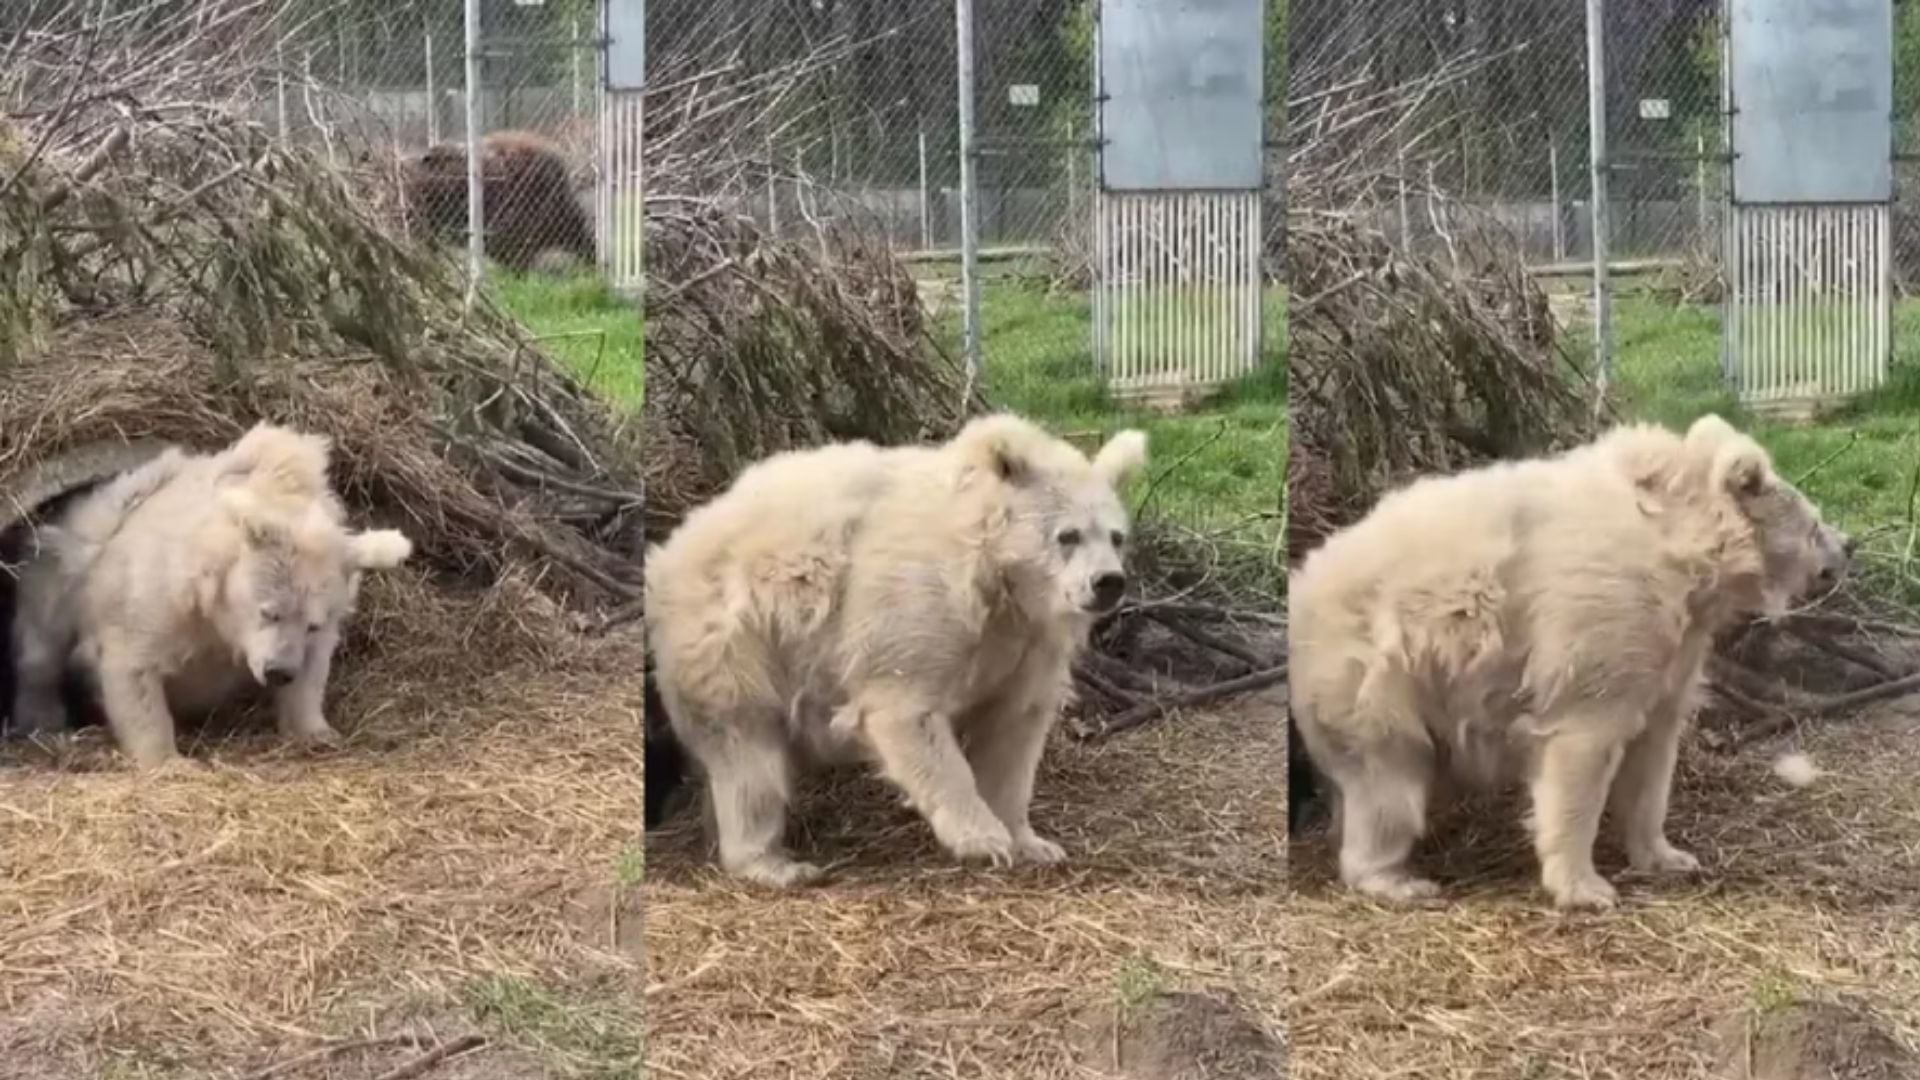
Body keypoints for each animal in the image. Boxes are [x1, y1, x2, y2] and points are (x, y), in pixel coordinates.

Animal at [7, 423, 414, 768]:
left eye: (312, 623)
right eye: (269, 612)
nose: (278, 672)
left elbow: (312, 670)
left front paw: (318, 733)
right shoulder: (161, 599)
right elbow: (133, 667)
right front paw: (169, 761)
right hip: (69, 557)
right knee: (41, 648)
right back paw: (43, 720)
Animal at [644, 414, 1149, 887]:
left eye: (1116, 536)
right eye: (1068, 535)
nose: (1108, 582)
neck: (992, 576)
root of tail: (670, 551)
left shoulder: (1026, 642)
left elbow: (1013, 730)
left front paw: (1033, 842)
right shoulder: (917, 603)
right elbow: (908, 711)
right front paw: (983, 839)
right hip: (735, 638)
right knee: (746, 752)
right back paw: (773, 863)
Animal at [1288, 414, 1853, 910]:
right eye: (1815, 523)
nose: (1849, 545)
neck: (1677, 543)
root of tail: (1304, 583)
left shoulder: (1672, 646)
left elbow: (1654, 751)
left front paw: (1669, 856)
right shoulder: (1601, 618)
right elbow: (1582, 742)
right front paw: (1585, 887)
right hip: (1375, 672)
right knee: (1387, 781)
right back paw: (1399, 880)